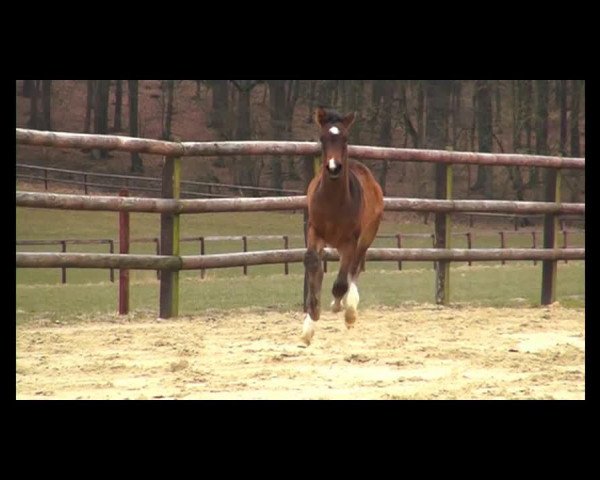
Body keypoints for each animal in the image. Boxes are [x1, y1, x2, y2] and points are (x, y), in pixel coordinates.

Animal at [300, 107, 384, 344]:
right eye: (322, 138)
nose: (333, 168)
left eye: (345, 139)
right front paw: (310, 321)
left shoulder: (350, 241)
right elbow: (313, 265)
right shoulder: (314, 231)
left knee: (354, 268)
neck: (333, 202)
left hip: (365, 237)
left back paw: (350, 311)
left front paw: (339, 306)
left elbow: (340, 283)